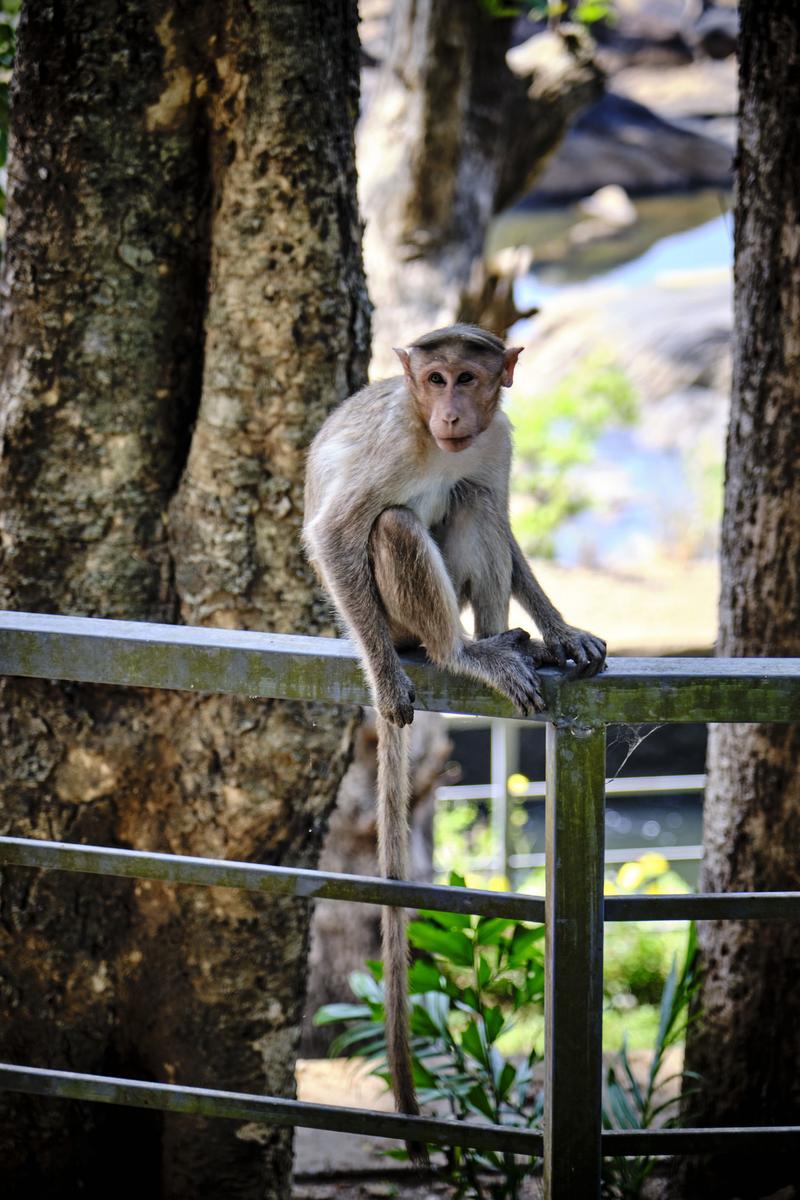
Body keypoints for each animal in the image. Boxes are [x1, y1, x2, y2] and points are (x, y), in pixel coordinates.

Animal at [303, 324, 604, 1156]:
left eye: (469, 378)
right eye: (434, 379)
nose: (450, 412)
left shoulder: (498, 436)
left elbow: (495, 499)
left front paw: (561, 630)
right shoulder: (394, 440)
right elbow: (335, 532)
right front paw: (383, 682)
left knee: (475, 501)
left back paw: (510, 639)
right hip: (392, 618)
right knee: (394, 526)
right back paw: (460, 654)